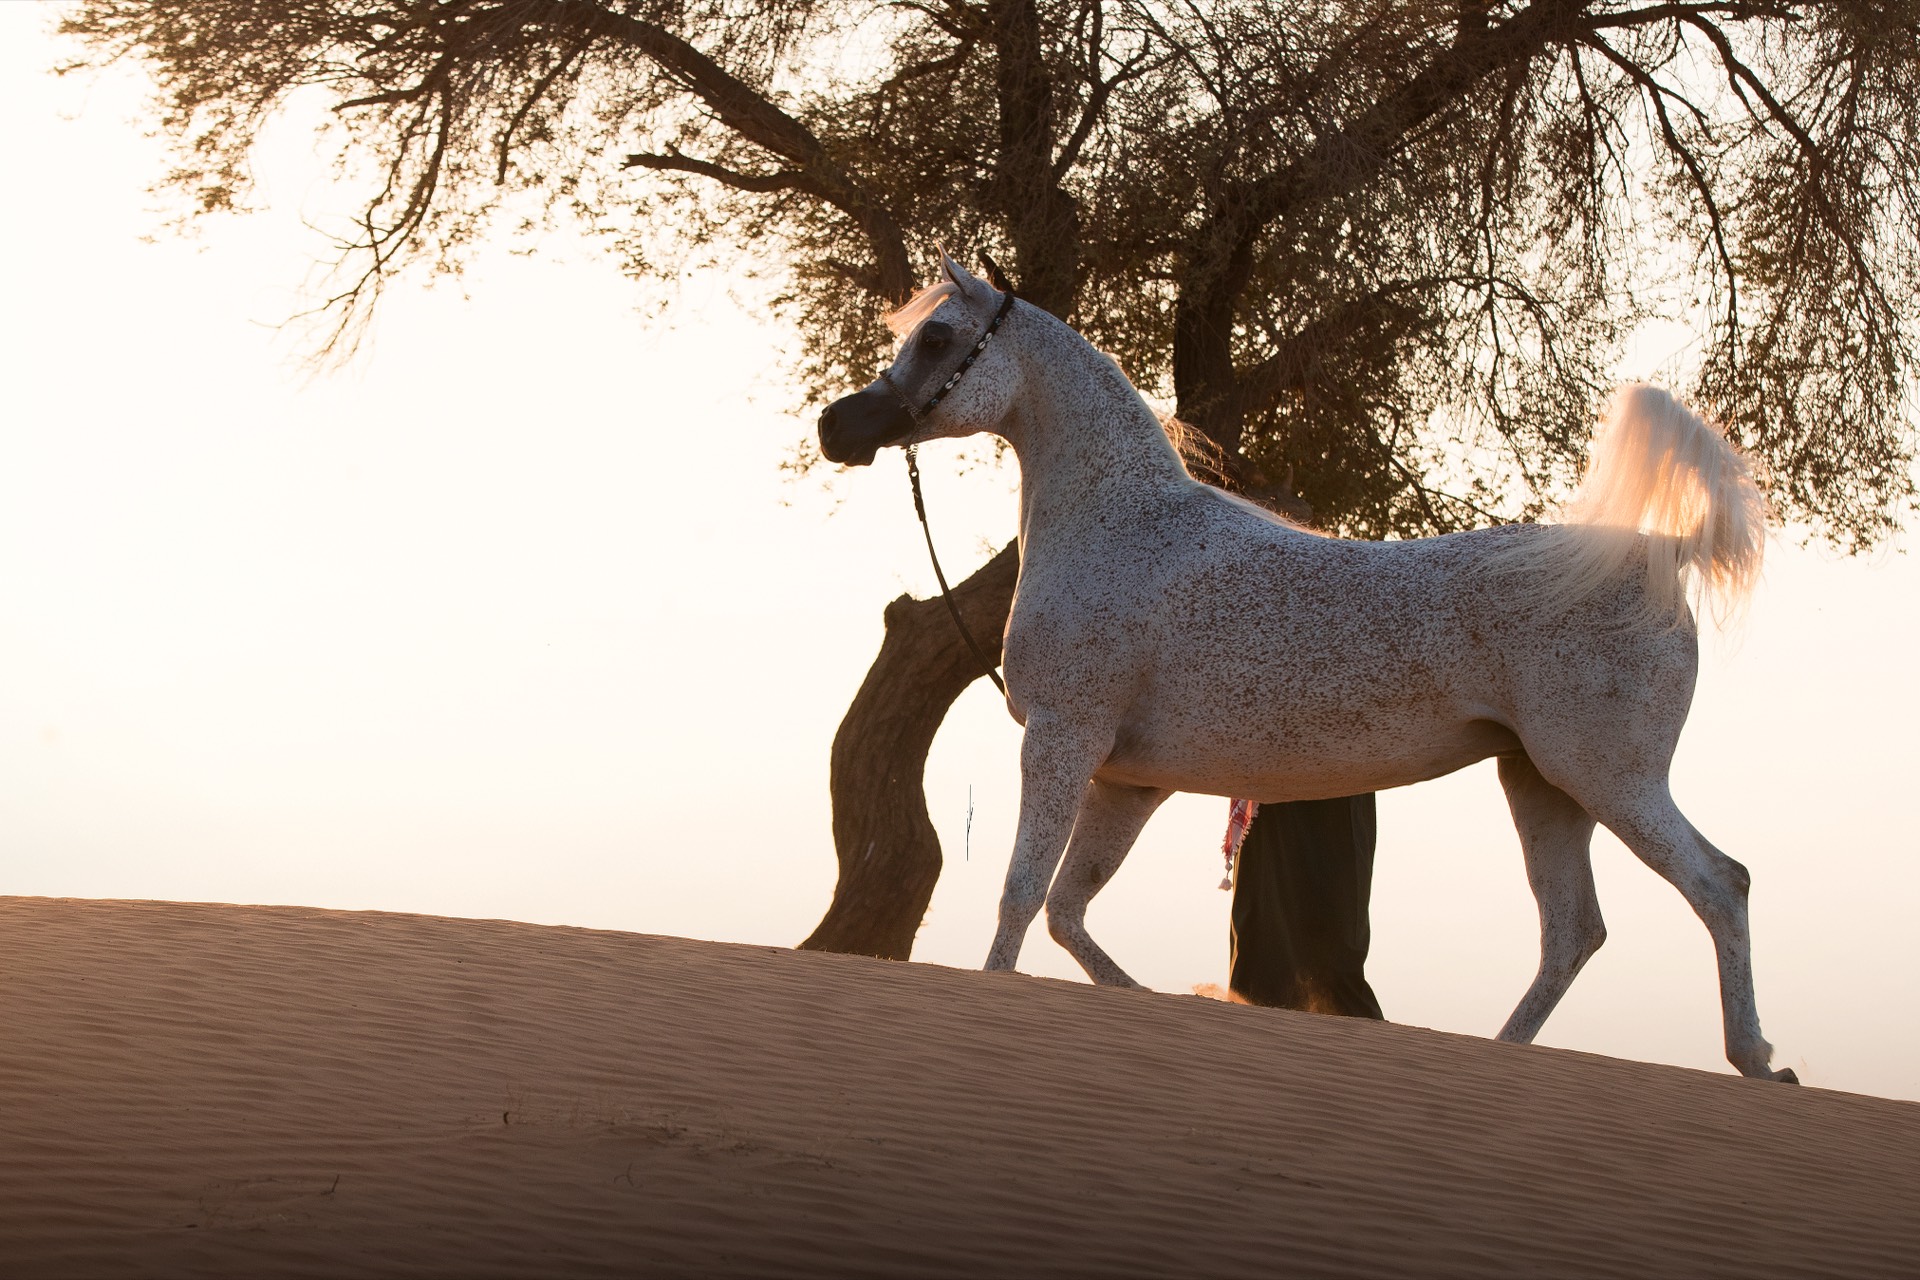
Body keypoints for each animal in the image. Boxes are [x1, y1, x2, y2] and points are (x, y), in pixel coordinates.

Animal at [818, 253, 1793, 1082]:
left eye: (937, 338)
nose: (837, 426)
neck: (1122, 527)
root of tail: (1661, 555)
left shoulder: (1064, 739)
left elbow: (1022, 895)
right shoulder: (1128, 780)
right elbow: (1067, 910)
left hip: (1608, 778)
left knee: (1720, 885)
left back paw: (1756, 1059)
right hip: (1542, 785)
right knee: (1573, 933)